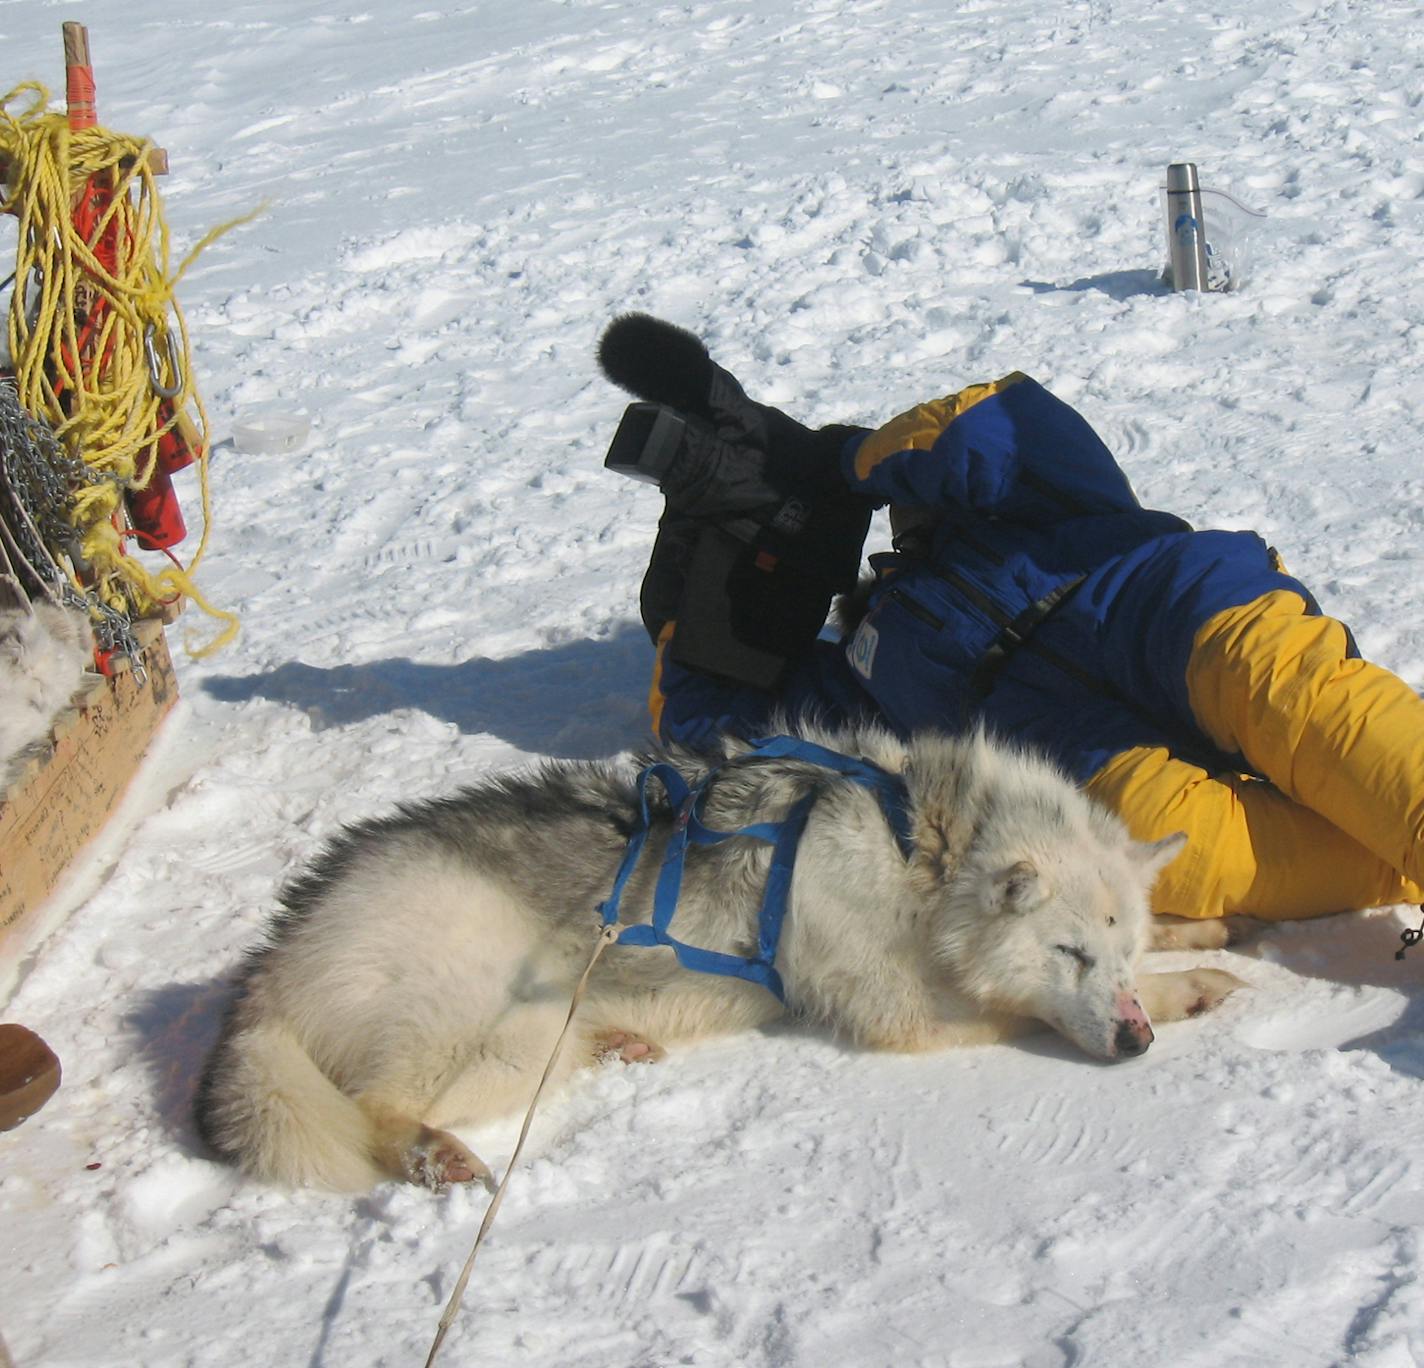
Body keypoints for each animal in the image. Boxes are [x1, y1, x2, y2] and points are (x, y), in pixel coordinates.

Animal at [195, 720, 1241, 1190]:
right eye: (1067, 952)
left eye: (1113, 947)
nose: (1135, 1044)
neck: (919, 846)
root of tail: (271, 966)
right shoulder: (902, 1011)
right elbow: (1023, 1011)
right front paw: (1191, 991)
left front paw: (1202, 936)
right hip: (495, 1027)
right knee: (373, 1109)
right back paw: (434, 1155)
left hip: (533, 1040)